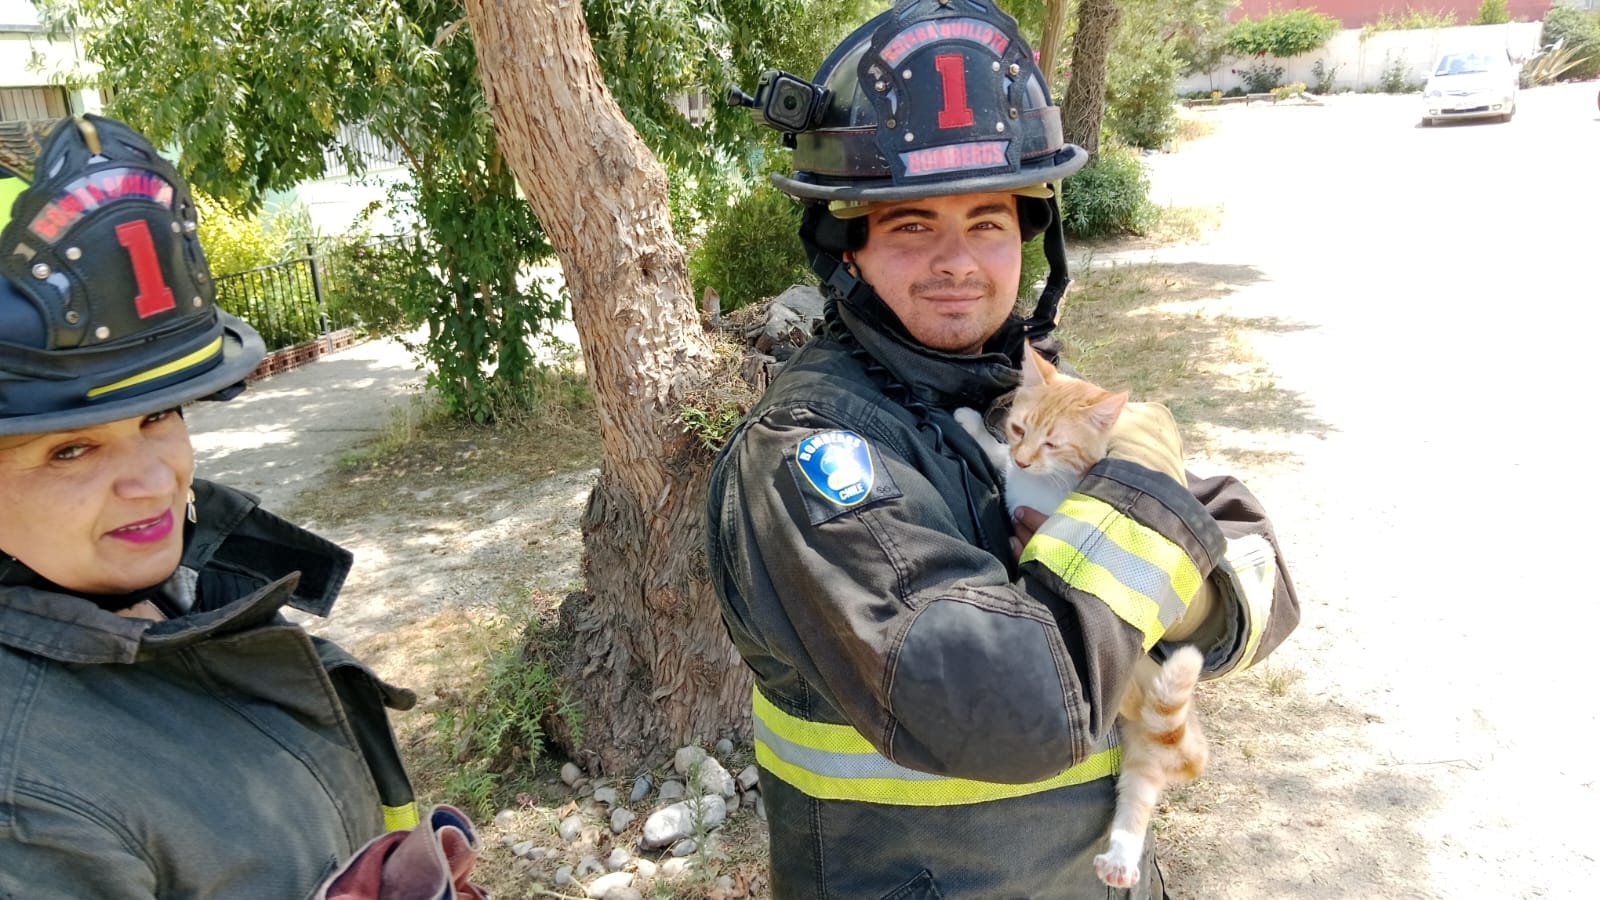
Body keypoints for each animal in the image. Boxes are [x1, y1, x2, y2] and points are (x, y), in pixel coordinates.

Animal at [953, 347, 1203, 883]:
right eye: (1020, 428)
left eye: (1053, 442)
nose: (1026, 457)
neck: (1043, 479)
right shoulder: (1017, 473)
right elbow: (1000, 458)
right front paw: (978, 428)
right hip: (1143, 742)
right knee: (1137, 794)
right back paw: (1120, 860)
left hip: (1151, 727)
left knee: (1140, 791)